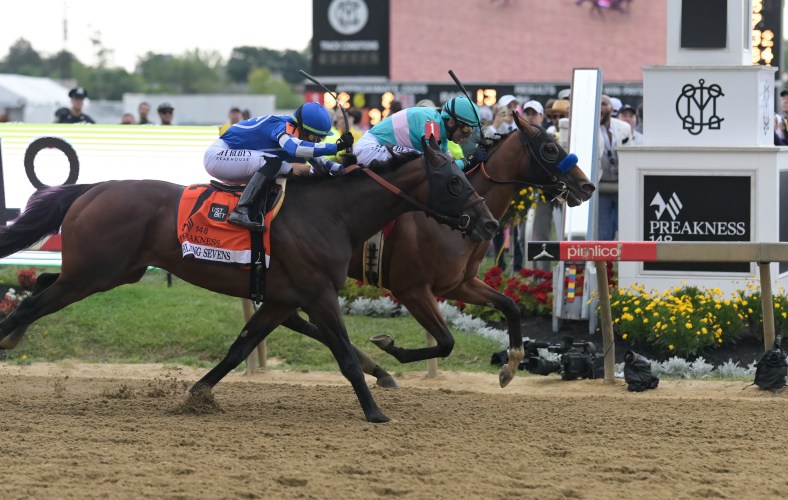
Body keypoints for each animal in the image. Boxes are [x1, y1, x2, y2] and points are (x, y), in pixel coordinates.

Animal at [0, 141, 498, 422]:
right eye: (455, 182)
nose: (490, 224)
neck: (333, 213)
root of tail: (93, 189)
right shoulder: (319, 294)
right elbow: (344, 356)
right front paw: (375, 412)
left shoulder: (282, 299)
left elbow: (239, 348)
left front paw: (197, 395)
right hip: (94, 274)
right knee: (30, 304)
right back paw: (9, 337)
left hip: (111, 271)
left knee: (40, 283)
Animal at [286, 113, 596, 386]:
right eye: (550, 149)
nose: (588, 186)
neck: (454, 222)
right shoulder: (412, 289)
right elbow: (446, 342)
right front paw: (387, 344)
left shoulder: (459, 284)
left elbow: (510, 306)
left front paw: (510, 367)